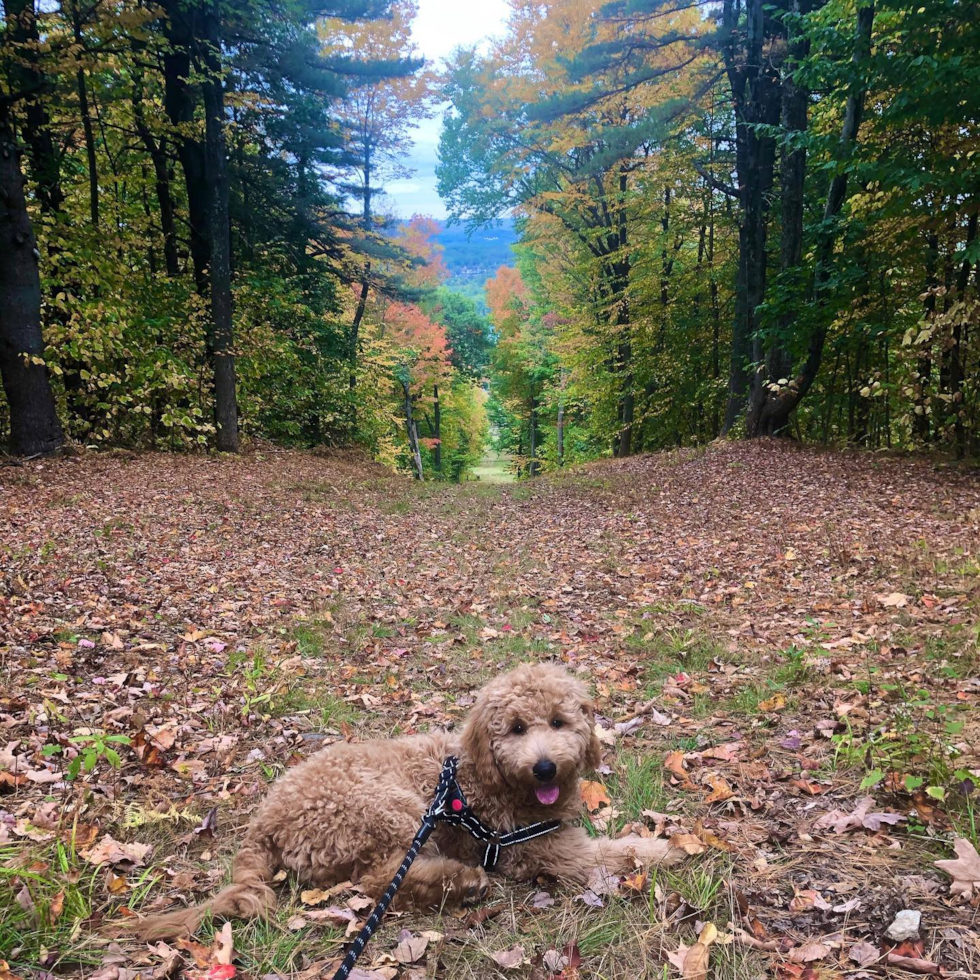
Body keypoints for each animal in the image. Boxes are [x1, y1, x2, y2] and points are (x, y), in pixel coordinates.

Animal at [128, 664, 680, 936]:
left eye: (560, 723)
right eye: (517, 729)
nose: (545, 766)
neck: (493, 777)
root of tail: (266, 822)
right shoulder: (539, 849)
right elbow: (613, 853)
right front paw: (671, 848)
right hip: (385, 807)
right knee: (379, 882)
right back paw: (462, 884)